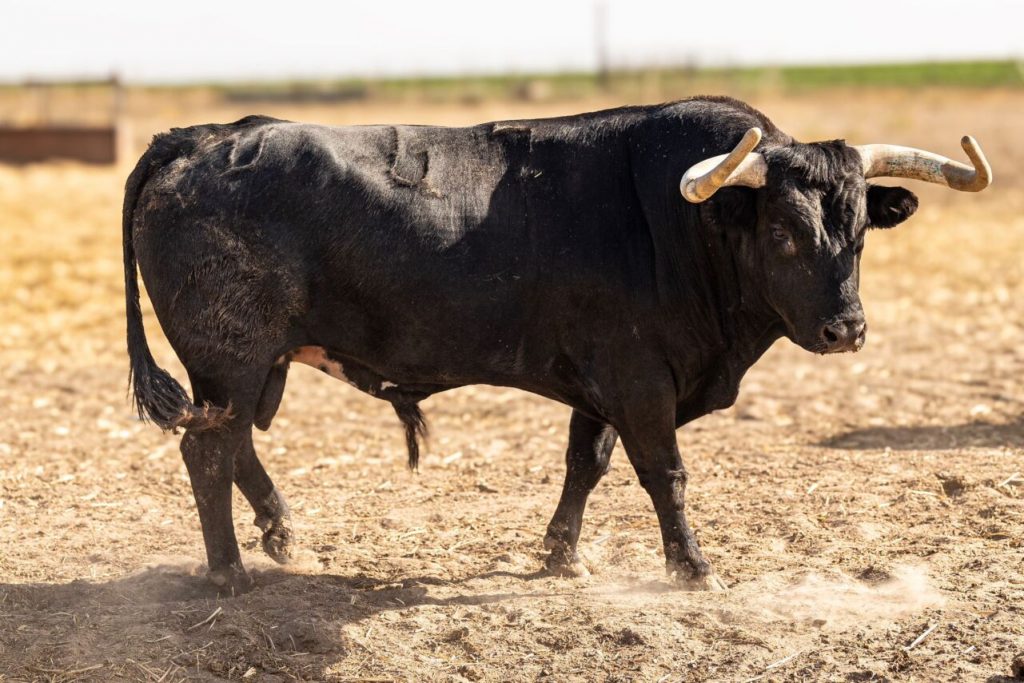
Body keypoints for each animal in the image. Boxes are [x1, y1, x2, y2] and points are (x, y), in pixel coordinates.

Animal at [125, 94, 942, 593]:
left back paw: (281, 534)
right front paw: (692, 566)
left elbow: (586, 463)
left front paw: (559, 555)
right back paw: (230, 571)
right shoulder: (641, 381)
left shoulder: (601, 385)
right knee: (208, 451)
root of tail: (201, 137)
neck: (675, 224)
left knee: (233, 446)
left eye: (859, 232)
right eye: (782, 232)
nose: (846, 329)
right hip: (232, 356)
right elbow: (665, 474)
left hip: (245, 368)